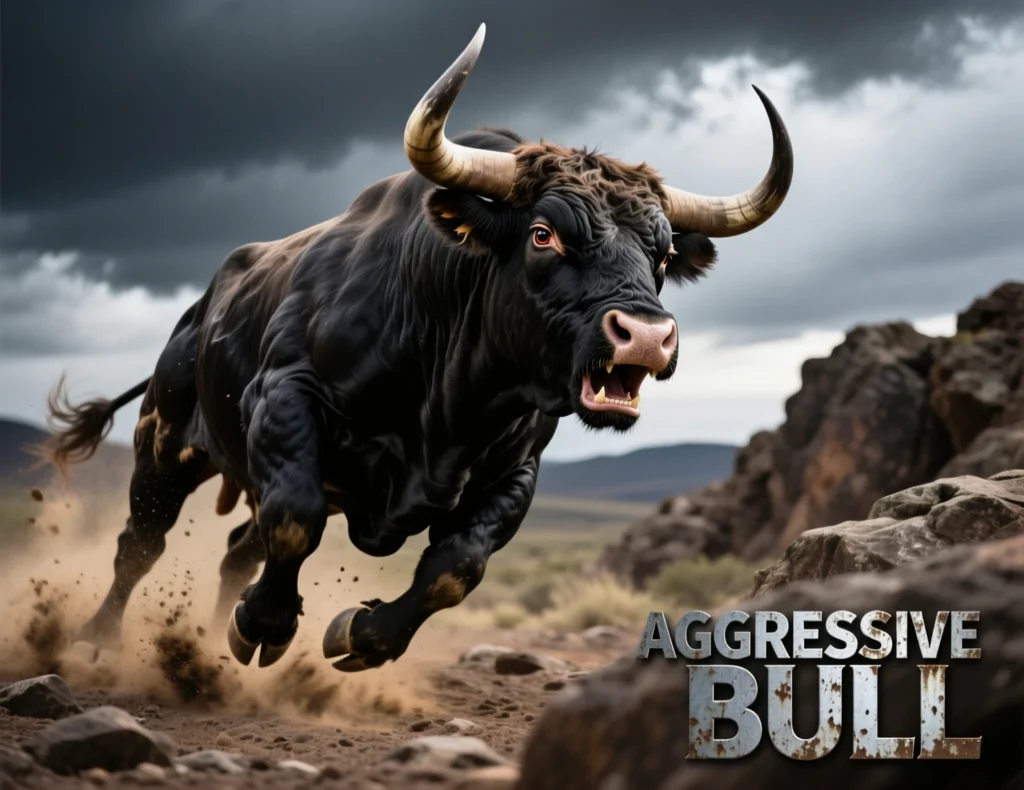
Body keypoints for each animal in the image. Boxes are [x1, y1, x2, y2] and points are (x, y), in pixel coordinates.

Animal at [40, 24, 792, 672]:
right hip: (165, 441)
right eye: (543, 233)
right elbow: (295, 519)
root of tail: (198, 314)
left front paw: (357, 635)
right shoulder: (284, 401)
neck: (450, 404)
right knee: (142, 542)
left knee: (233, 551)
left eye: (661, 255)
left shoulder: (512, 471)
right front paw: (265, 625)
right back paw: (97, 639)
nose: (646, 335)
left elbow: (455, 569)